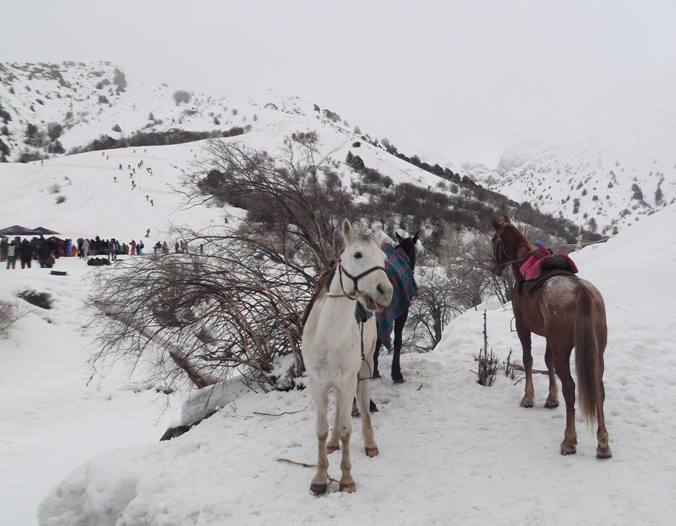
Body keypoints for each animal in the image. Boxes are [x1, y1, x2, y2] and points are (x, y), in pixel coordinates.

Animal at [302, 219, 394, 496]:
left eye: (384, 259)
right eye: (357, 255)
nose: (385, 291)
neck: (329, 336)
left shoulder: (347, 381)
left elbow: (346, 429)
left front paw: (346, 478)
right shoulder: (318, 384)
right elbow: (321, 430)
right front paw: (319, 477)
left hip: (363, 370)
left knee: (362, 403)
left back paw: (370, 442)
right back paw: (333, 443)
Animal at [492, 217, 612, 460]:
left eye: (493, 240)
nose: (493, 267)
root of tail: (582, 293)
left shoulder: (523, 326)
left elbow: (528, 359)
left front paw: (529, 398)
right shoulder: (549, 337)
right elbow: (548, 363)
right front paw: (551, 399)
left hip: (563, 348)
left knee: (570, 388)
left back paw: (569, 440)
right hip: (597, 349)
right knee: (599, 388)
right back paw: (603, 444)